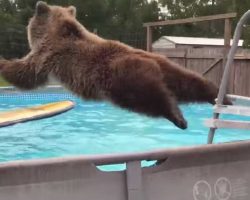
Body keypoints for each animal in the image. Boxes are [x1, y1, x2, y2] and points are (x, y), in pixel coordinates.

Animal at [0, 1, 229, 130]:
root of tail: (151, 60)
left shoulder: (48, 55)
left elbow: (26, 74)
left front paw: (3, 62)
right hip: (168, 69)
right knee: (191, 83)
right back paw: (220, 97)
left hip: (121, 80)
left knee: (152, 99)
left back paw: (178, 117)